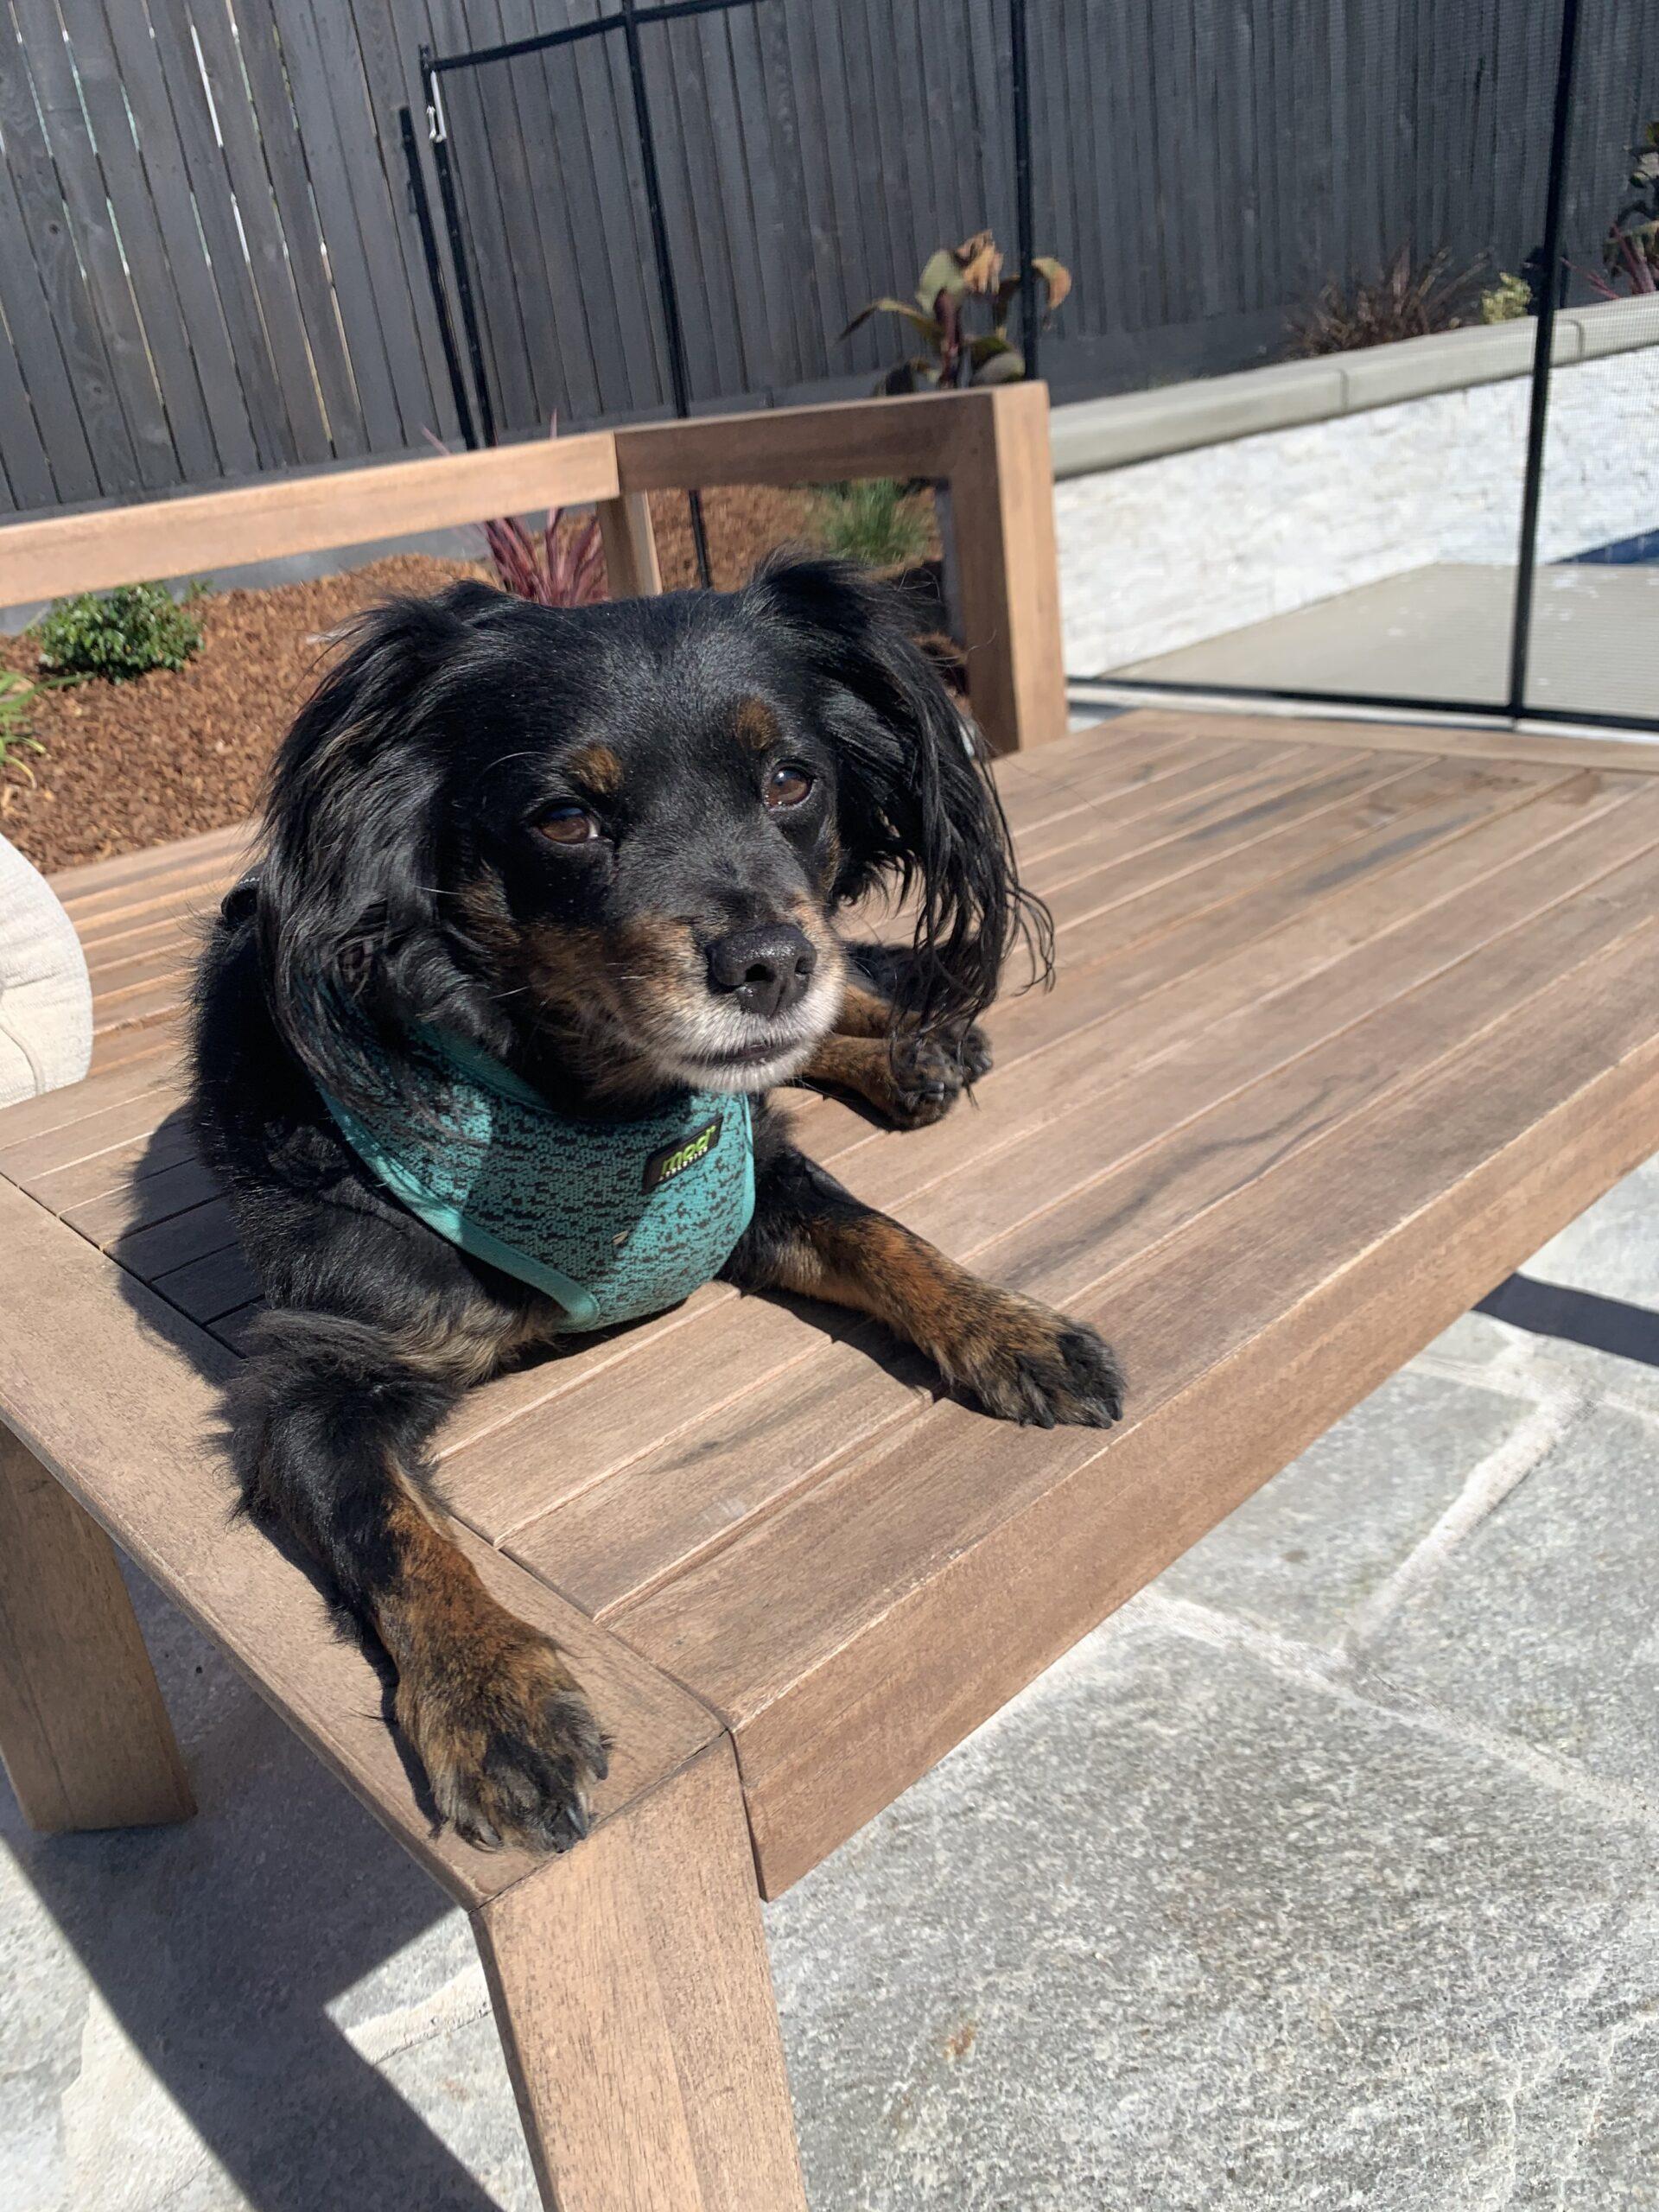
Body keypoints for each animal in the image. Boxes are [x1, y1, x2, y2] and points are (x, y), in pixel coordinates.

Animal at [191, 555, 1123, 1856]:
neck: (592, 1112)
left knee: (851, 1006)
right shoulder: (314, 1370)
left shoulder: (749, 1182)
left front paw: (1011, 1325)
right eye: (563, 819)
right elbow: (395, 1529)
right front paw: (494, 1699)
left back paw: (915, 1047)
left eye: (791, 781)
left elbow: (885, 1235)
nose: (769, 963)